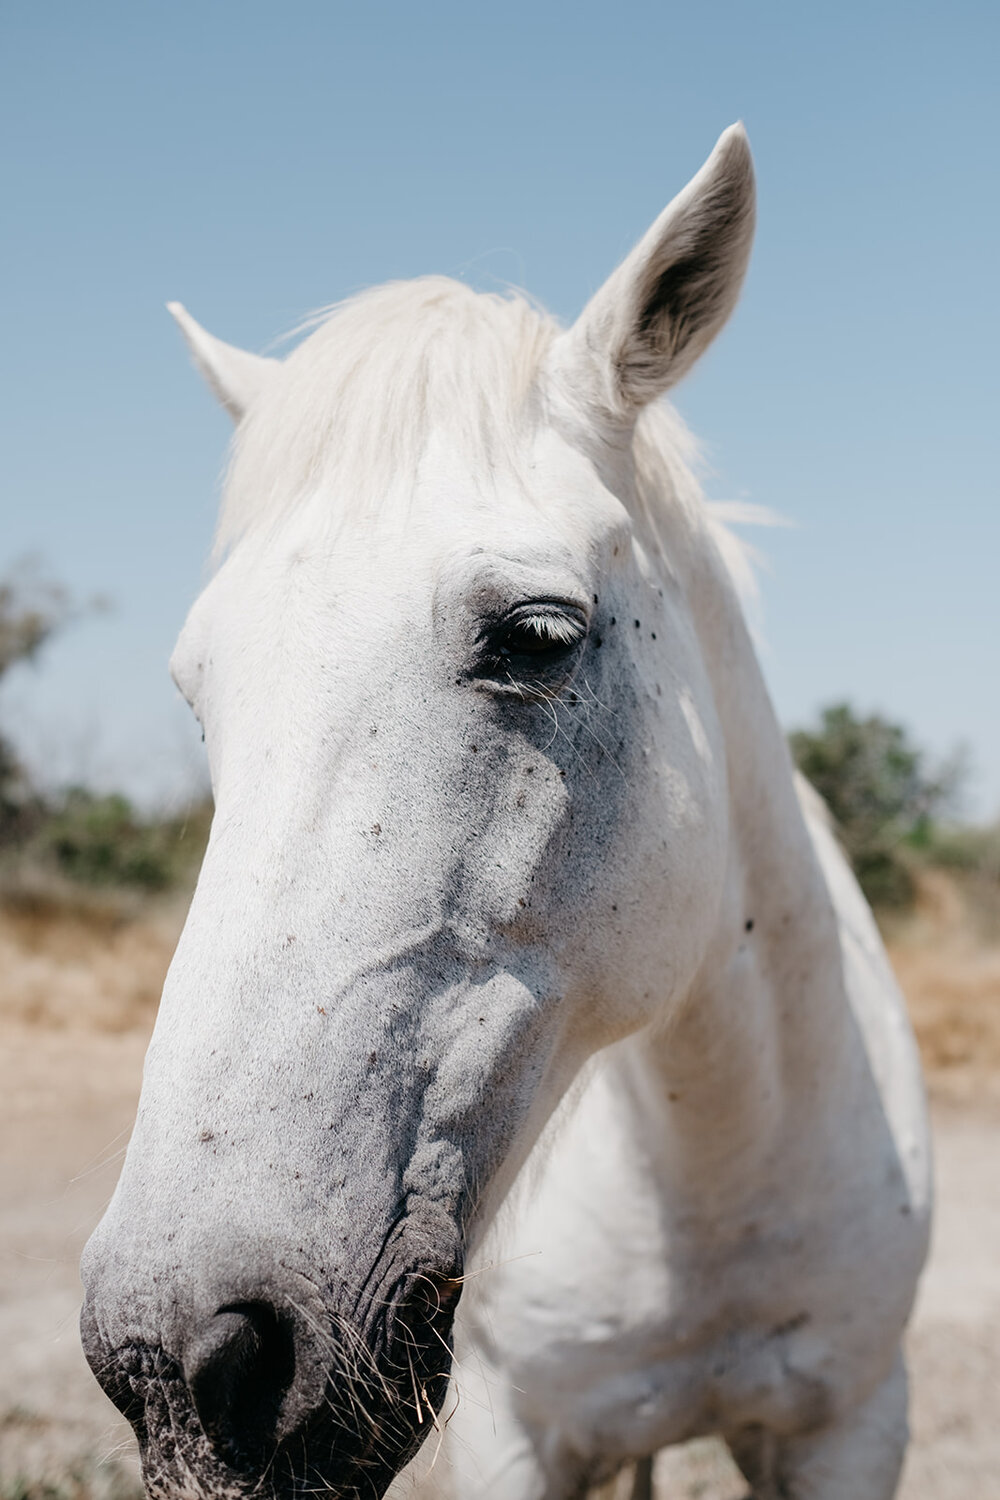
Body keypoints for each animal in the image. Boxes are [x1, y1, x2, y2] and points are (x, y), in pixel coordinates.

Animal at [82, 129, 935, 1500]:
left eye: (534, 635)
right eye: (199, 693)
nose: (175, 1363)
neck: (715, 1178)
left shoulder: (851, 1422)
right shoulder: (514, 1436)